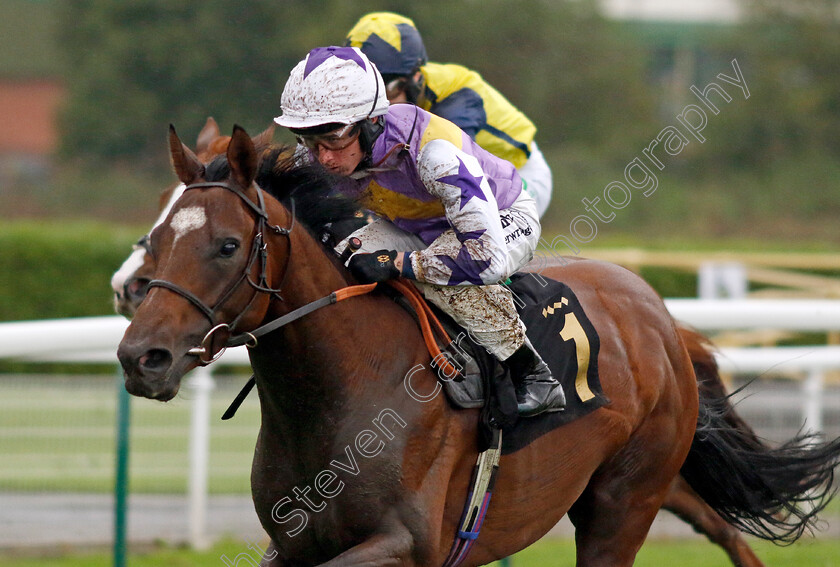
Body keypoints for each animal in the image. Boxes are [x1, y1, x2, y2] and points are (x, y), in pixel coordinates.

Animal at [118, 126, 840, 564]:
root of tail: (659, 313)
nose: (140, 356)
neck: (339, 389)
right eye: (153, 238)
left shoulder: (406, 545)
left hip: (626, 499)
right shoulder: (293, 544)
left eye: (226, 245)